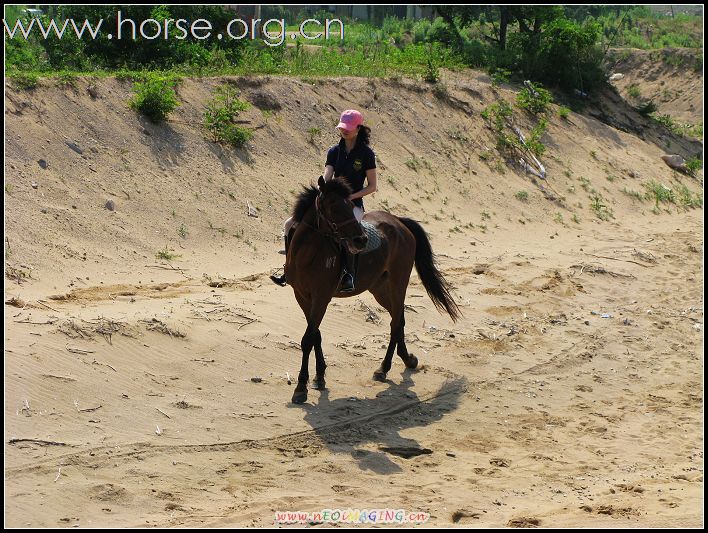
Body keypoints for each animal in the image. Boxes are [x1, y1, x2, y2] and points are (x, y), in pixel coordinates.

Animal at [284, 176, 462, 404]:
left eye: (349, 205)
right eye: (333, 207)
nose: (361, 240)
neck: (308, 255)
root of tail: (399, 221)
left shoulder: (321, 298)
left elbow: (308, 339)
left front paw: (301, 387)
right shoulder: (302, 297)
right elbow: (316, 335)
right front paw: (320, 377)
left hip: (397, 283)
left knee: (396, 322)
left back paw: (384, 368)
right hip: (379, 289)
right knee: (399, 318)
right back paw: (408, 359)